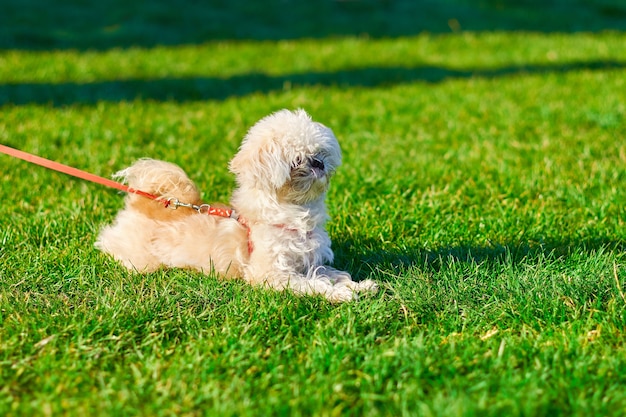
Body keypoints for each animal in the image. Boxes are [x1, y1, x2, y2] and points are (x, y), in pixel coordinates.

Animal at [93, 109, 376, 300]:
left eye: (319, 152)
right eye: (297, 161)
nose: (318, 163)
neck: (294, 214)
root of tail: (138, 204)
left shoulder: (309, 262)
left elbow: (333, 273)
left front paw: (359, 285)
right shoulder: (271, 275)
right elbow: (311, 284)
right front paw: (338, 294)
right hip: (141, 261)